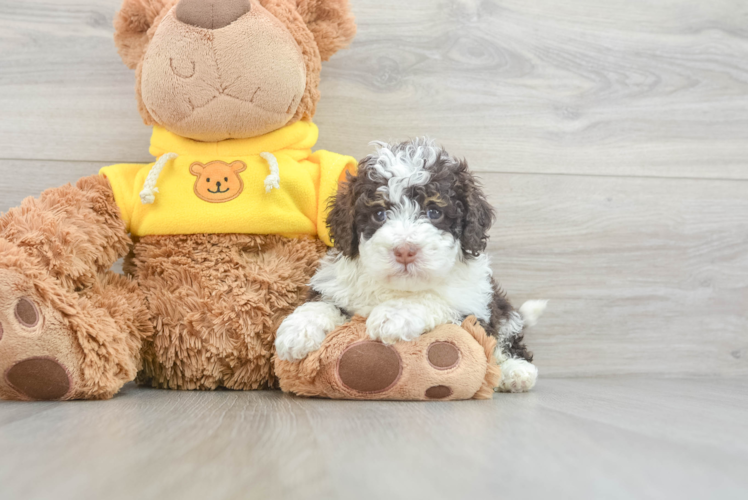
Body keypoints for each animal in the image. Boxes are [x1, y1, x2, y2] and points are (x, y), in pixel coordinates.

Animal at [274, 139, 544, 392]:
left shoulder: (472, 308)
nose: (404, 251)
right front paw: (297, 331)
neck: (398, 287)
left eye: (434, 212)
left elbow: (432, 298)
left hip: (501, 312)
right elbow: (320, 303)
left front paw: (394, 314)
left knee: (507, 342)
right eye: (379, 214)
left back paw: (516, 372)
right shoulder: (337, 285)